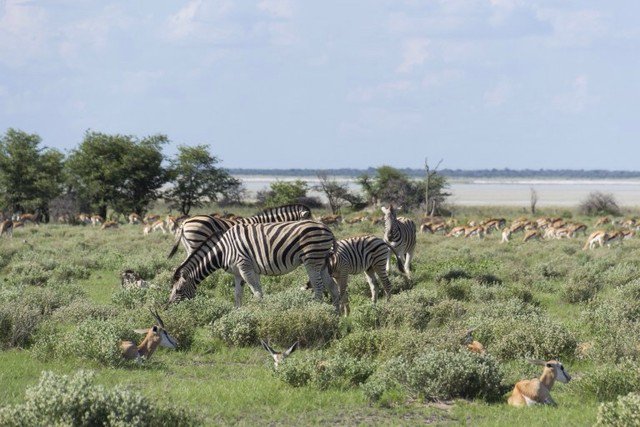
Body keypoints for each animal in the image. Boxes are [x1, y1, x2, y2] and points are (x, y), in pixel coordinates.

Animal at [169, 220, 339, 310]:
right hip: (322, 262)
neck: (223, 250)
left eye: (179, 290)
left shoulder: (245, 267)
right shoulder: (239, 272)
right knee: (332, 286)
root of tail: (326, 228)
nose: (167, 308)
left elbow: (257, 293)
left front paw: (259, 313)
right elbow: (238, 294)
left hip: (312, 260)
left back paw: (315, 310)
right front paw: (237, 314)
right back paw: (335, 314)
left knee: (319, 287)